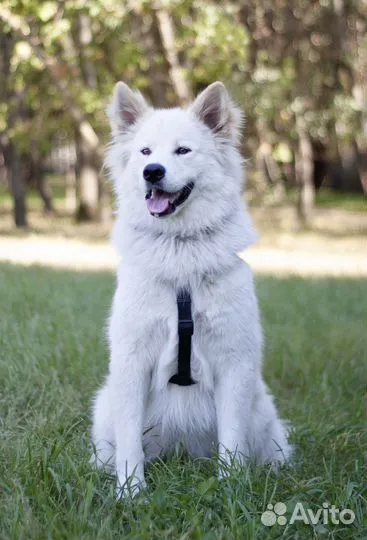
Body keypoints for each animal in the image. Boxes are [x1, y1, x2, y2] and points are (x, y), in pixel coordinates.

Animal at [91, 80, 290, 498]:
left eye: (183, 150)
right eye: (145, 152)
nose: (152, 172)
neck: (180, 252)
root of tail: (181, 451)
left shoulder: (235, 362)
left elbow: (232, 440)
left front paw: (231, 490)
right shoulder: (131, 361)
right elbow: (129, 442)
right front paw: (131, 492)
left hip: (263, 410)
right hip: (104, 405)